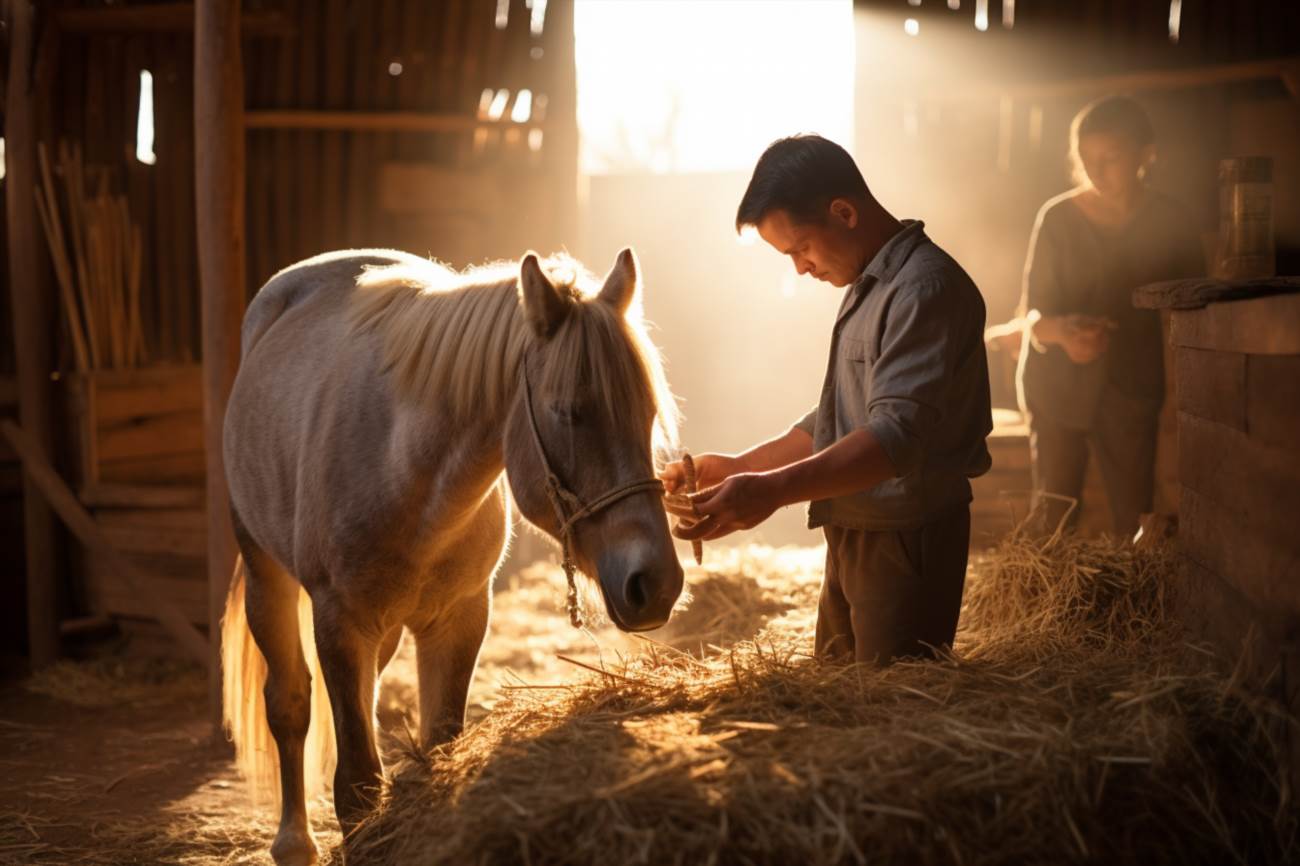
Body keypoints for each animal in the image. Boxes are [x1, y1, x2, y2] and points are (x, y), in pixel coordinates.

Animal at [218, 244, 686, 863]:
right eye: (569, 412)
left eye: (648, 413)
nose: (654, 582)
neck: (410, 477)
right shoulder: (341, 621)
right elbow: (356, 783)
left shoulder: (459, 620)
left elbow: (437, 748)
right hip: (266, 575)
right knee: (290, 703)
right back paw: (294, 840)